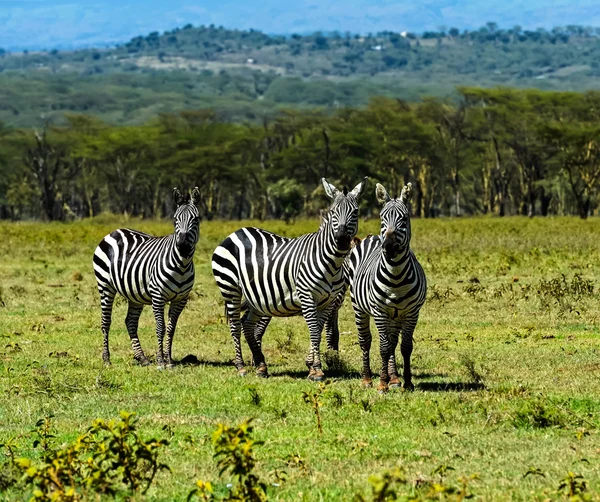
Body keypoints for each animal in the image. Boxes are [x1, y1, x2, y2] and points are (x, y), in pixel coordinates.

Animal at [92, 188, 202, 368]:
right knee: (105, 322)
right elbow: (160, 328)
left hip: (134, 293)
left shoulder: (181, 299)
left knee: (130, 322)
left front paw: (169, 360)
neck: (182, 265)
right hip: (105, 285)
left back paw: (142, 358)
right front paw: (161, 361)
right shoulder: (158, 296)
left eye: (196, 219)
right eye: (175, 219)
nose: (183, 246)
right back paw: (107, 359)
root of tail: (115, 231)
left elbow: (171, 328)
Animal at [213, 178, 368, 378]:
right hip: (229, 286)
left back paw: (261, 366)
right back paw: (241, 366)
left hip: (257, 297)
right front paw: (317, 369)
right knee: (235, 326)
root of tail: (236, 232)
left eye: (355, 212)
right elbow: (315, 331)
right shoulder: (307, 296)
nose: (341, 239)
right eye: (333, 212)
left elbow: (320, 330)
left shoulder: (328, 303)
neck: (332, 263)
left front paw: (312, 365)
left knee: (246, 324)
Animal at [344, 181, 424, 392]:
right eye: (382, 217)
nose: (388, 246)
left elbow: (404, 347)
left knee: (393, 341)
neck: (396, 276)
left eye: (404, 218)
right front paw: (381, 384)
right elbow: (383, 347)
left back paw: (394, 378)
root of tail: (371, 237)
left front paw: (407, 382)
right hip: (359, 307)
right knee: (366, 341)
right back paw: (367, 379)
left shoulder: (412, 313)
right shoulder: (380, 312)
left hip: (395, 316)